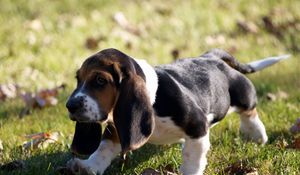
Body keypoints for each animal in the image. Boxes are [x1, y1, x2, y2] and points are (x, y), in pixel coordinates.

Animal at [65, 48, 288, 175]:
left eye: (100, 80)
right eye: (78, 79)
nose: (70, 106)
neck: (153, 99)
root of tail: (209, 57)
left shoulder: (197, 127)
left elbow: (192, 159)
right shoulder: (117, 128)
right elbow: (103, 148)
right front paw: (89, 167)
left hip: (242, 94)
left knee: (249, 111)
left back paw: (256, 134)